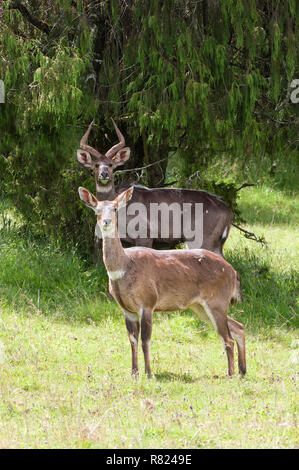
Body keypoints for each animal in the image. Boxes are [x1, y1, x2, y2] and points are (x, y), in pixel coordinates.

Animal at [77, 119, 234, 255]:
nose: (104, 174)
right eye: (95, 165)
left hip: (201, 239)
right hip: (215, 243)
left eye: (111, 165)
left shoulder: (144, 235)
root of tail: (227, 212)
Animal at [78, 186, 247, 378]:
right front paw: (134, 373)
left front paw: (149, 374)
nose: (106, 221)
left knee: (228, 338)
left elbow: (145, 339)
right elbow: (132, 339)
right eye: (96, 210)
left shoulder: (148, 303)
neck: (124, 267)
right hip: (200, 306)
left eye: (114, 208)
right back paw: (242, 371)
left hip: (216, 301)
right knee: (238, 327)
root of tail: (233, 273)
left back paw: (230, 374)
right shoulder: (127, 309)